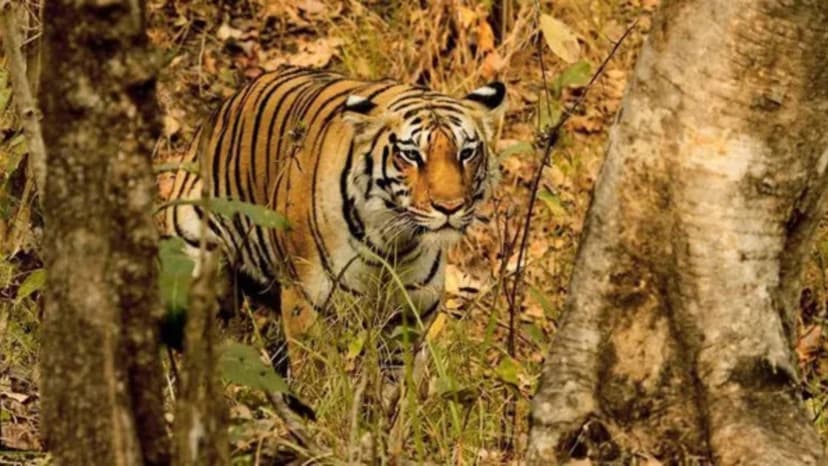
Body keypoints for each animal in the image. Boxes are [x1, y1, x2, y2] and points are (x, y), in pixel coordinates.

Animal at [164, 65, 505, 366]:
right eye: (411, 155)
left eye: (466, 152)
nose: (450, 207)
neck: (394, 244)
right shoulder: (305, 304)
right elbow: (317, 374)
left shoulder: (409, 317)